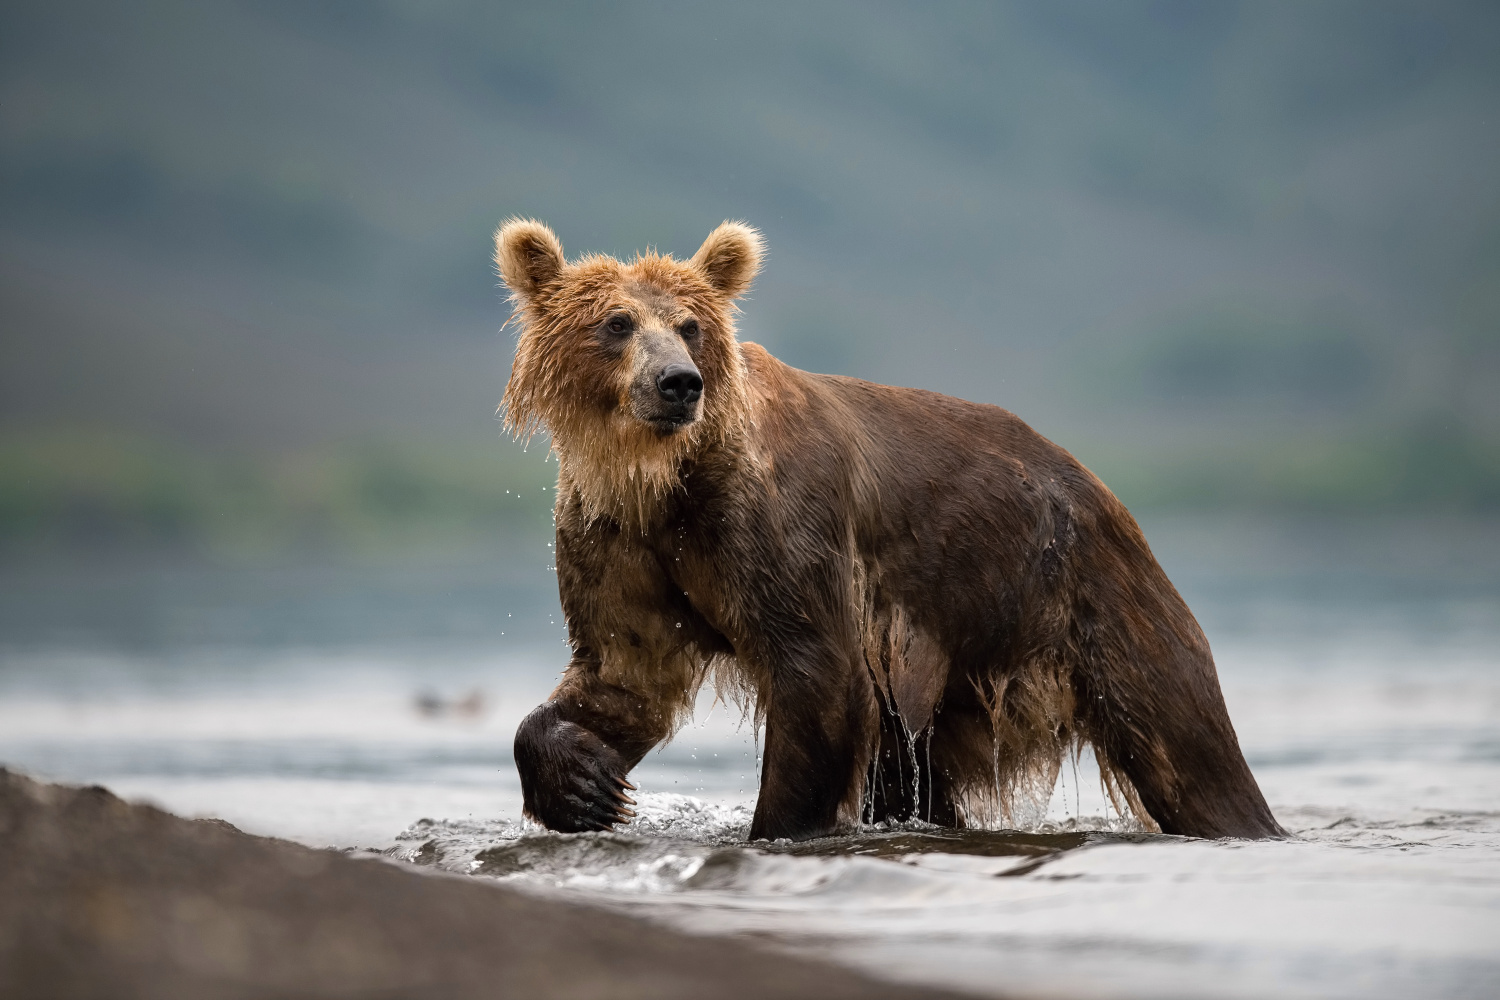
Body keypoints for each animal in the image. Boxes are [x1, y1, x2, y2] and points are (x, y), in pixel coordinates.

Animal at [498, 220, 1284, 845]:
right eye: (617, 323)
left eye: (691, 325)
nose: (678, 382)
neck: (665, 478)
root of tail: (1100, 489)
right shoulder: (618, 533)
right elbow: (626, 665)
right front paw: (585, 783)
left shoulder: (775, 525)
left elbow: (815, 670)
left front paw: (776, 830)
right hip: (951, 676)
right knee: (916, 775)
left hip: (1081, 597)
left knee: (1186, 745)